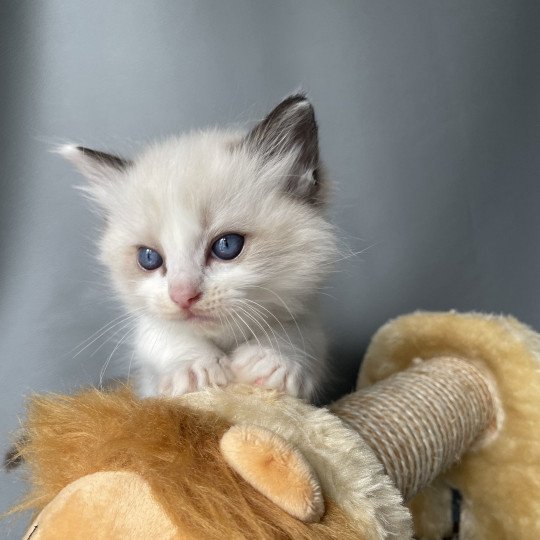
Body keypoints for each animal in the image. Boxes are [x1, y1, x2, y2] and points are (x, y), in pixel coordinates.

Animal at [61, 95, 336, 400]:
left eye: (227, 245)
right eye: (149, 258)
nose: (183, 296)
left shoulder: (307, 316)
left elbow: (299, 333)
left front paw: (273, 360)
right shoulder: (151, 340)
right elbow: (162, 335)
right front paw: (194, 368)